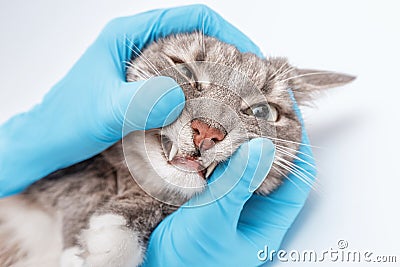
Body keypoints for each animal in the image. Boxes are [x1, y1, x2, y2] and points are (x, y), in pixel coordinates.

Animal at [0, 32, 356, 266]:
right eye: (184, 72)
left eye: (262, 112)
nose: (208, 131)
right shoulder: (57, 175)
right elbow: (85, 182)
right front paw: (80, 245)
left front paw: (114, 234)